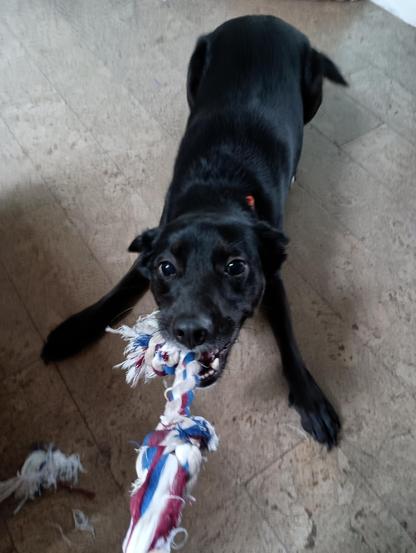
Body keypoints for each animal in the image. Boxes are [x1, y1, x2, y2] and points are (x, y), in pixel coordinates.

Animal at [42, 16, 348, 448]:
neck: (217, 192)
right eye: (167, 268)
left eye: (236, 267)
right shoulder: (152, 245)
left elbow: (288, 336)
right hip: (194, 70)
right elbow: (118, 290)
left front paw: (309, 398)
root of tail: (263, 18)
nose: (189, 332)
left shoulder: (272, 276)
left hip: (313, 91)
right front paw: (75, 329)